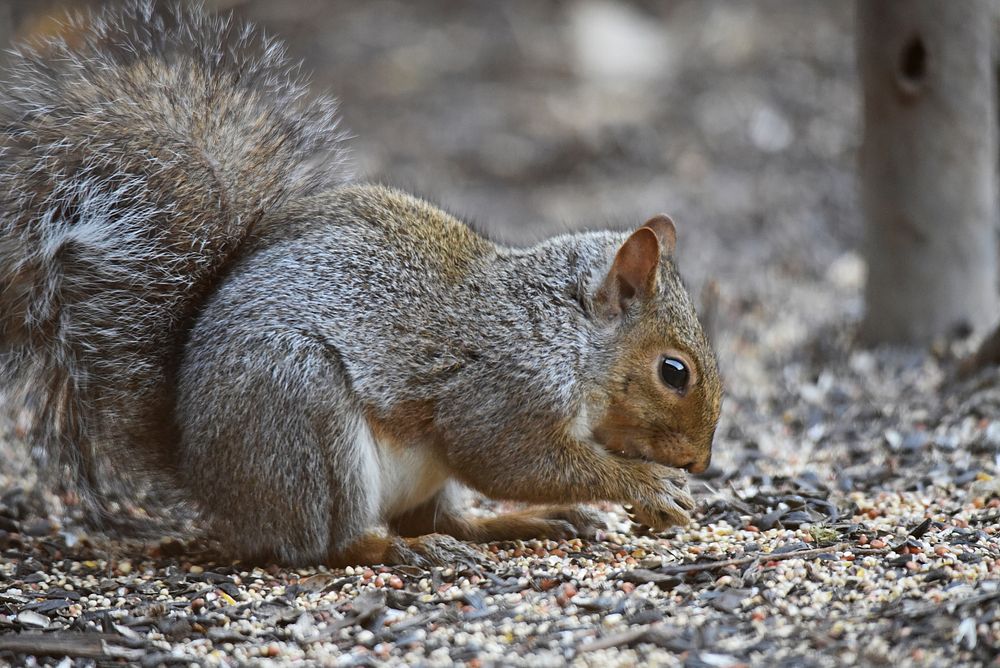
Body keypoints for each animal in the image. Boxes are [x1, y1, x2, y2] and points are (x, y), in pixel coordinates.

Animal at [0, 0, 724, 568]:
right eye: (674, 371)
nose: (698, 463)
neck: (561, 327)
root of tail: (202, 469)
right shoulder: (501, 389)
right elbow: (509, 459)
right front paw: (645, 484)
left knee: (441, 516)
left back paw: (521, 521)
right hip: (305, 417)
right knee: (323, 543)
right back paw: (395, 548)